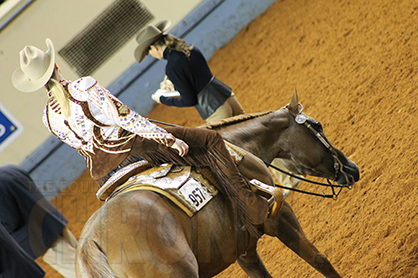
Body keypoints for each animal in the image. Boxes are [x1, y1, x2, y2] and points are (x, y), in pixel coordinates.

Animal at [76, 92, 360, 278]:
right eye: (317, 126)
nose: (352, 168)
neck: (240, 148)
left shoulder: (243, 250)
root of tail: (92, 246)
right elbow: (319, 260)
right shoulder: (281, 219)